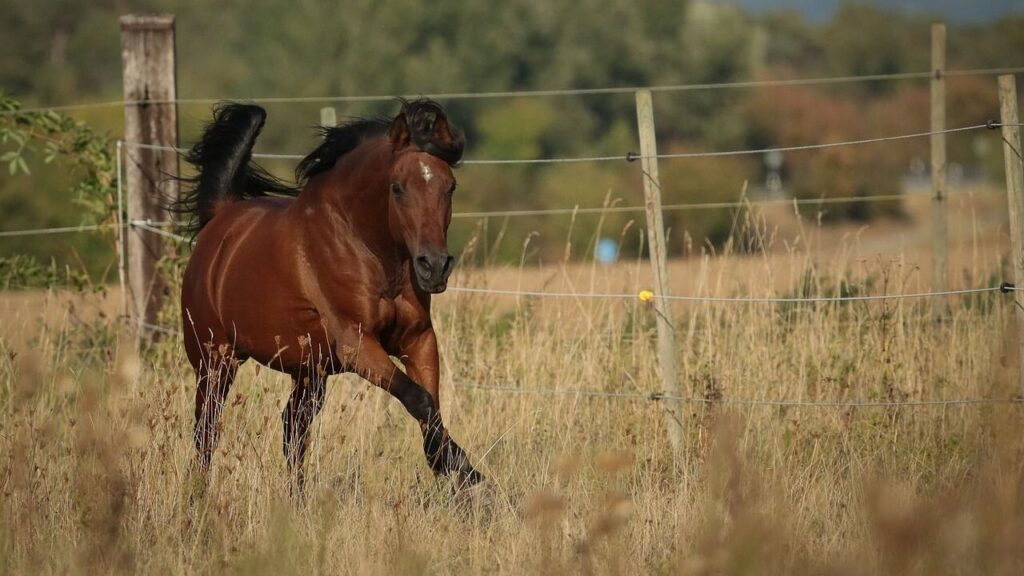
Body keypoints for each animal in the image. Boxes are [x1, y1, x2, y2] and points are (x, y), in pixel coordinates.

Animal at [177, 99, 482, 492]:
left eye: (450, 186)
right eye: (397, 187)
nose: (434, 266)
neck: (364, 247)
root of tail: (221, 216)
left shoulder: (418, 339)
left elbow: (432, 408)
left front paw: (461, 473)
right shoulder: (357, 345)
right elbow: (420, 399)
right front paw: (465, 470)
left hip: (309, 371)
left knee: (292, 429)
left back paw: (296, 499)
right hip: (215, 359)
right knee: (207, 430)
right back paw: (198, 499)